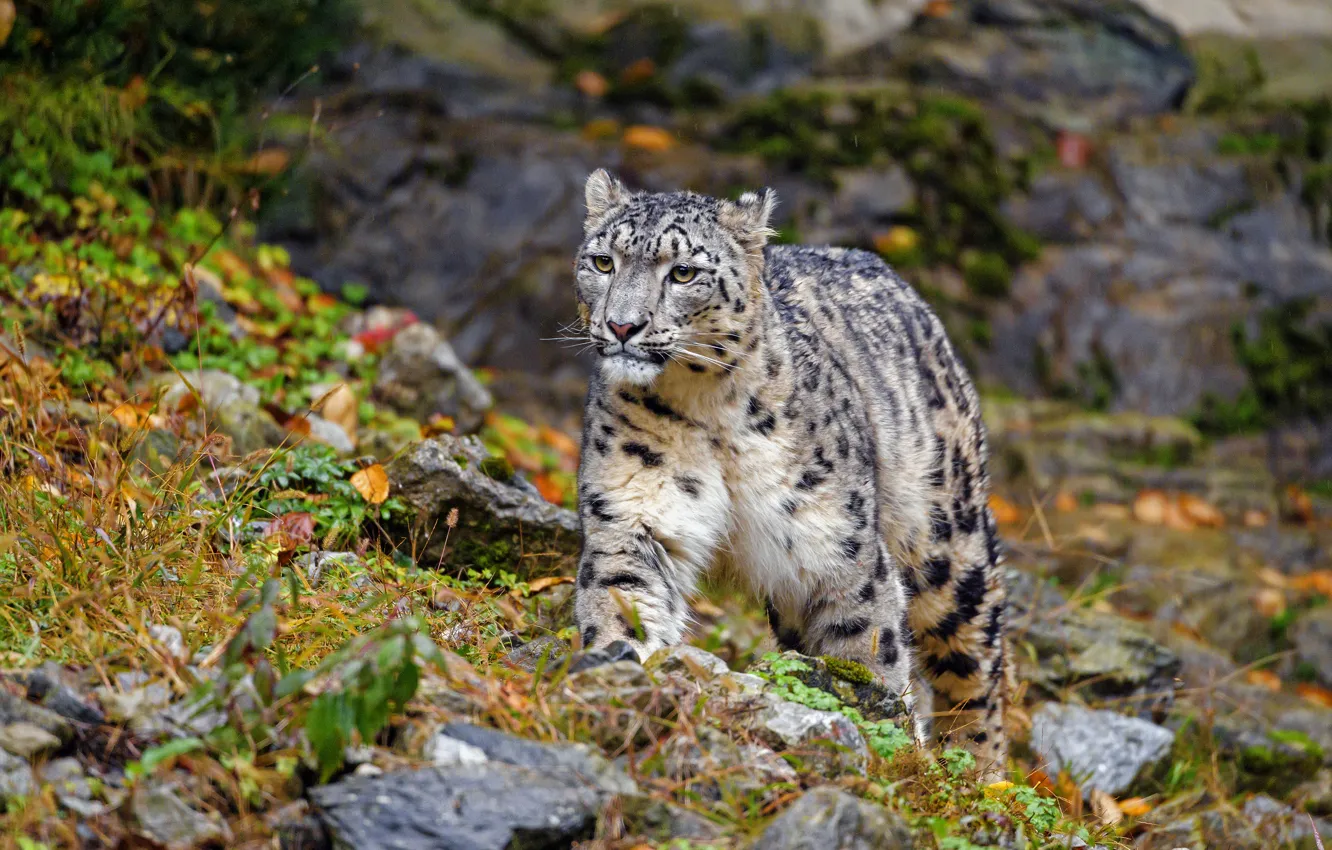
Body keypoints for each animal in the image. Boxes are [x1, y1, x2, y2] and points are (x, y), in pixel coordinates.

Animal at [568, 169, 1010, 780]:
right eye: (603, 261)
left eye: (683, 272)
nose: (622, 325)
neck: (704, 410)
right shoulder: (632, 513)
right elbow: (622, 597)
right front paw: (622, 668)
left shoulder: (836, 546)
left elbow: (867, 649)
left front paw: (888, 750)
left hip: (946, 540)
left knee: (976, 664)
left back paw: (983, 774)